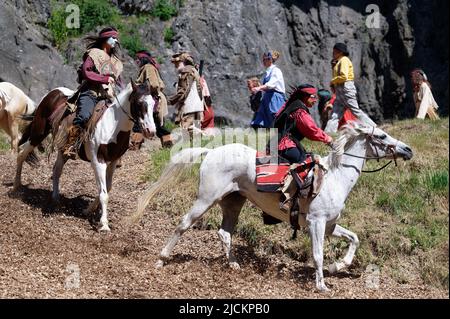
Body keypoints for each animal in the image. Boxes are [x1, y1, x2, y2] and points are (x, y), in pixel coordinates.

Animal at [14, 82, 156, 232]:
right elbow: (103, 193)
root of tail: (53, 93)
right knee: (21, 154)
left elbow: (107, 188)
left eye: (153, 103)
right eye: (139, 103)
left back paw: (55, 197)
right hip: (38, 133)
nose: (151, 131)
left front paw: (88, 210)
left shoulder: (113, 162)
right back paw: (16, 187)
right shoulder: (98, 162)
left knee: (56, 170)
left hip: (62, 151)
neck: (112, 125)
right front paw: (104, 224)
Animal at [133, 122, 412, 292]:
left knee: (225, 232)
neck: (334, 177)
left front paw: (338, 266)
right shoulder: (316, 223)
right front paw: (321, 284)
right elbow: (318, 254)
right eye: (381, 136)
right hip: (205, 199)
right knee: (183, 224)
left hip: (233, 202)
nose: (408, 149)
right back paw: (161, 259)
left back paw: (233, 264)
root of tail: (211, 153)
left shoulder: (330, 225)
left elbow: (354, 239)